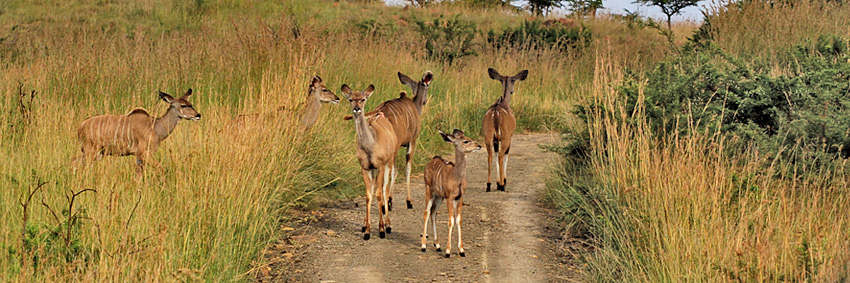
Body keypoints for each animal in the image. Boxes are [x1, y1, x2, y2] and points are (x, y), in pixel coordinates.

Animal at [342, 83, 398, 241]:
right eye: (350, 99)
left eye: (363, 99)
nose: (356, 108)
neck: (370, 146)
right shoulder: (365, 167)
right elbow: (368, 195)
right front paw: (367, 231)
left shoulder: (380, 165)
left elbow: (379, 193)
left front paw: (381, 230)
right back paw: (364, 225)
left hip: (390, 161)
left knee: (385, 189)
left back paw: (388, 225)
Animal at [420, 130, 480, 258]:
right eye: (466, 141)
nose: (479, 145)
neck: (456, 177)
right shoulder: (449, 197)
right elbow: (451, 220)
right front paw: (448, 251)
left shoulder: (459, 197)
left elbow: (458, 220)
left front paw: (461, 250)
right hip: (429, 191)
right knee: (426, 212)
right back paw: (423, 246)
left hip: (439, 197)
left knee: (433, 213)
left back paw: (437, 246)